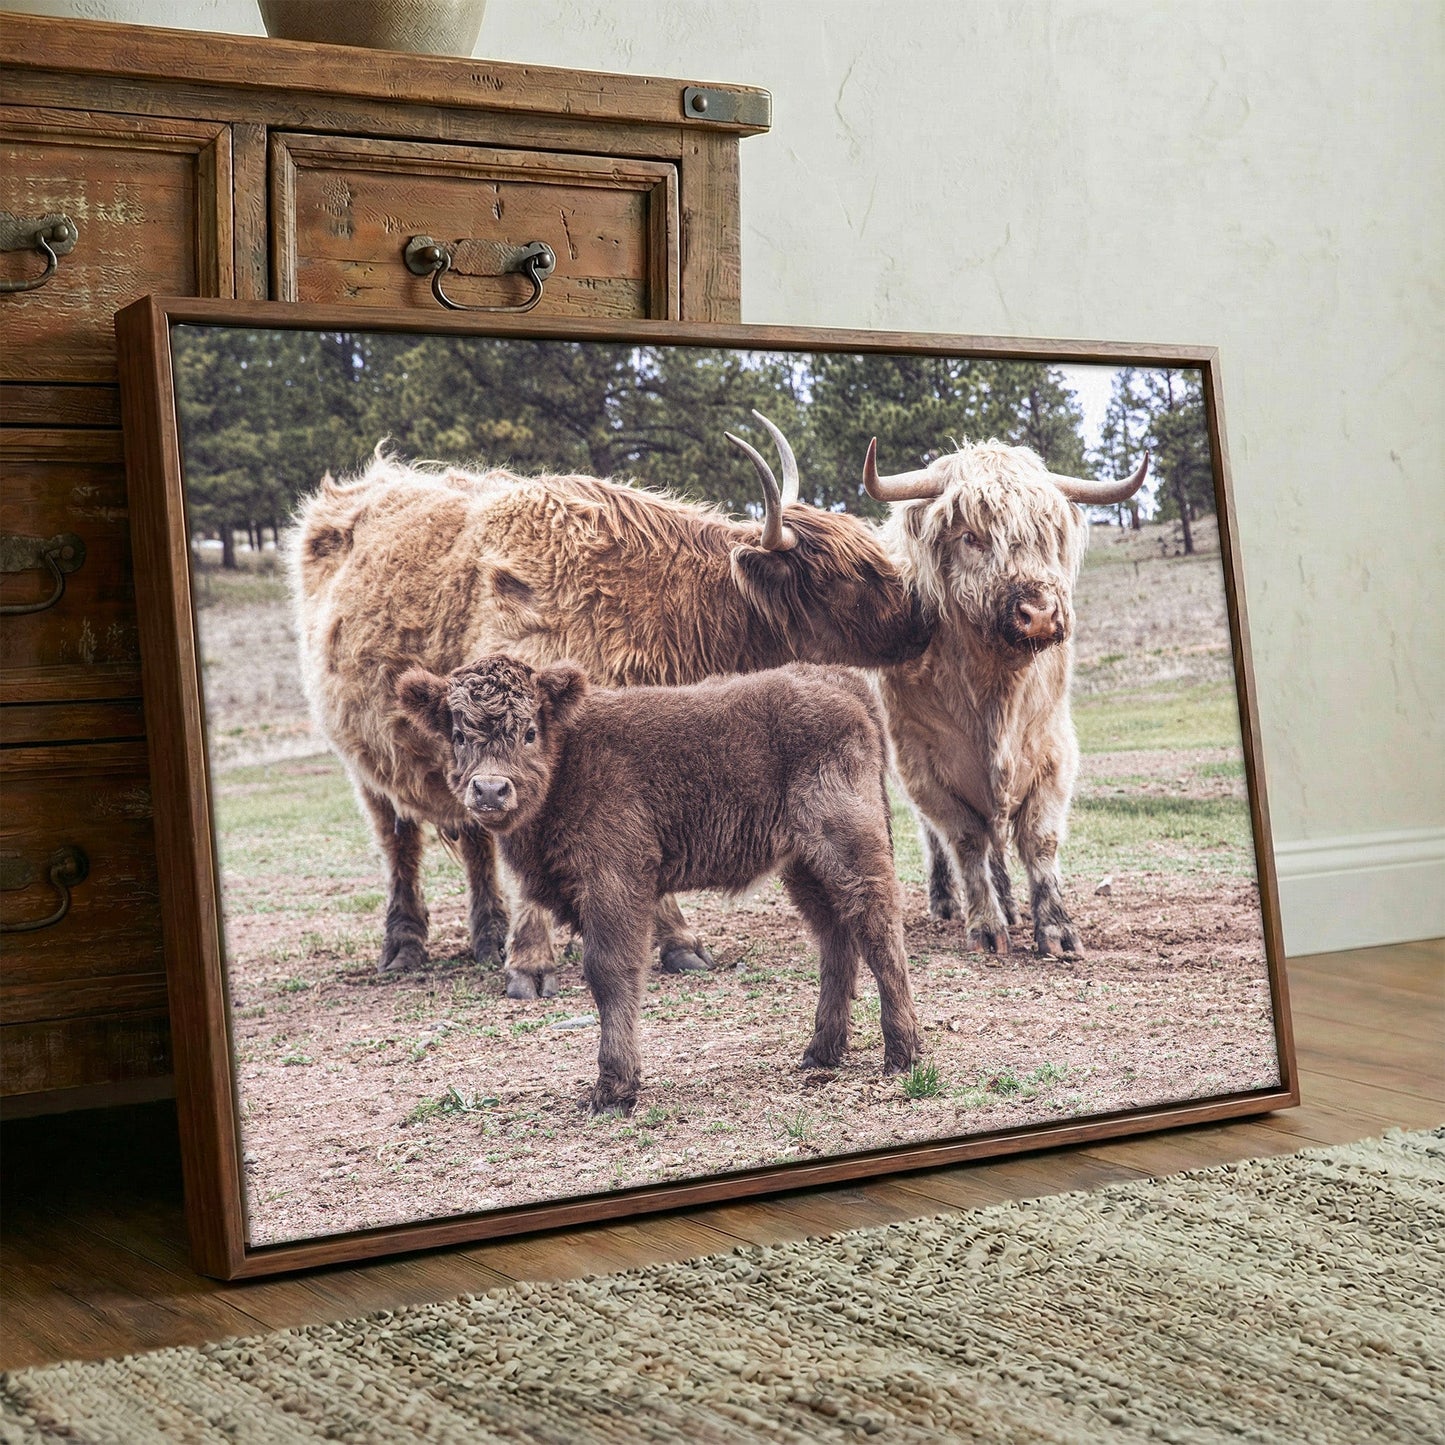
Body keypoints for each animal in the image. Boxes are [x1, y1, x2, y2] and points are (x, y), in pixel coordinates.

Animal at [290, 416, 932, 1000]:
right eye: (842, 577)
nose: (922, 620)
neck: (651, 602)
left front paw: (678, 944)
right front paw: (531, 967)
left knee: (473, 842)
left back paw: (488, 936)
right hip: (370, 761)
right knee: (399, 842)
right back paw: (404, 946)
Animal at [394, 654, 923, 1114]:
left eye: (529, 732)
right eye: (459, 734)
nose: (490, 789)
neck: (568, 757)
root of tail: (833, 677)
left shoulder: (615, 882)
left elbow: (610, 972)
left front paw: (613, 1091)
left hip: (849, 847)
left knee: (877, 929)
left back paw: (902, 1054)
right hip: (804, 866)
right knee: (836, 937)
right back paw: (821, 1052)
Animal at [866, 438, 1150, 958]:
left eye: (1047, 533)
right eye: (971, 537)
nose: (1038, 613)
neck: (996, 694)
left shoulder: (1052, 753)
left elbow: (1039, 841)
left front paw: (1056, 930)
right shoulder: (923, 765)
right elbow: (964, 840)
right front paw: (985, 926)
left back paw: (1012, 905)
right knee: (939, 837)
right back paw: (946, 902)